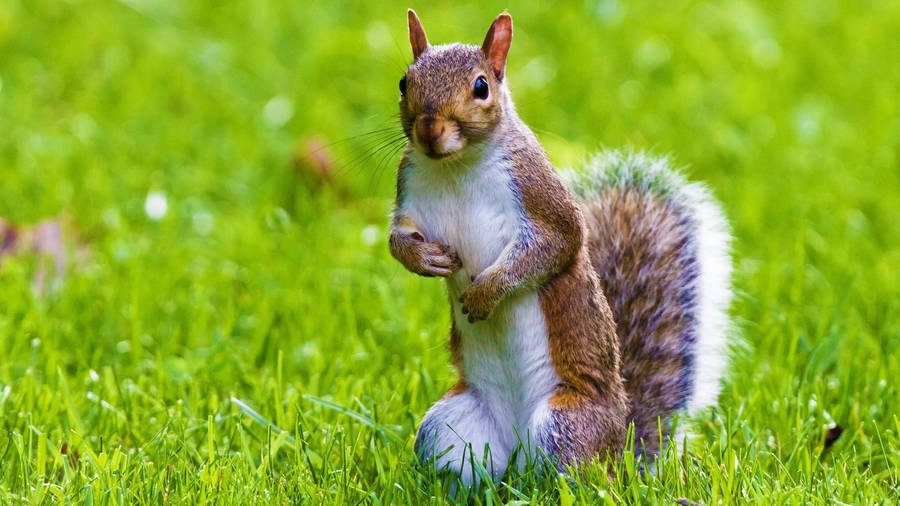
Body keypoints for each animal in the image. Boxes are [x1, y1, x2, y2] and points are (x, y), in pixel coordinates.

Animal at [386, 9, 732, 484]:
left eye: (481, 87)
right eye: (405, 82)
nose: (429, 130)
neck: (455, 165)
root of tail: (620, 449)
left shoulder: (540, 197)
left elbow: (554, 248)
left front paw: (485, 293)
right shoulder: (409, 193)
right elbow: (396, 239)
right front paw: (424, 259)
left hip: (564, 424)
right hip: (449, 428)